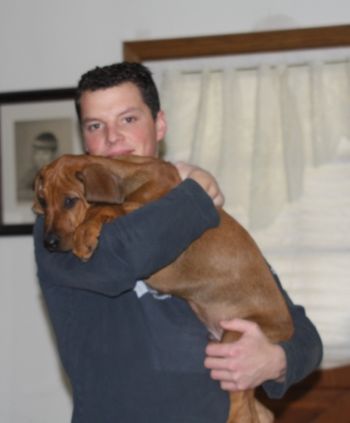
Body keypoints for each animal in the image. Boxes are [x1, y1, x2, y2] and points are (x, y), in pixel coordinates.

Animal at [34, 155, 292, 423]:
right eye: (43, 200)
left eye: (69, 201)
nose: (48, 243)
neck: (126, 174)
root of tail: (288, 328)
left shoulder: (148, 199)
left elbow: (108, 206)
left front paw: (85, 232)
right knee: (261, 411)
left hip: (235, 346)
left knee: (243, 410)